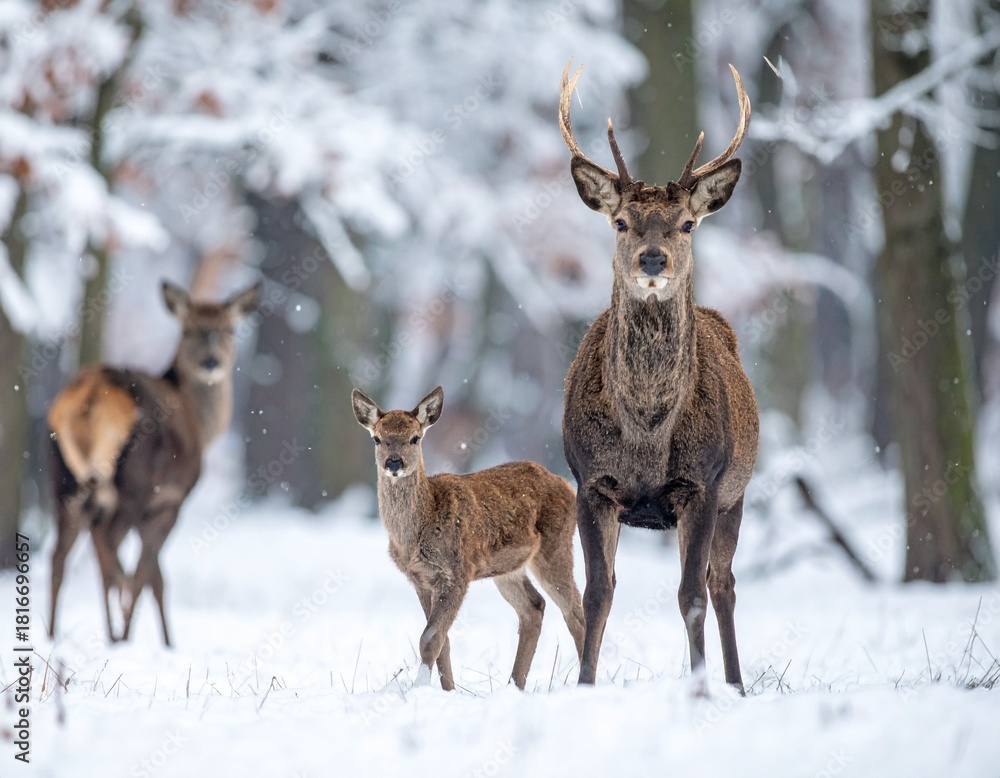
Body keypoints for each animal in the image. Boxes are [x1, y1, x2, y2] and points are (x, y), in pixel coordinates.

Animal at [47, 280, 261, 646]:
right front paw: (167, 642)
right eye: (188, 330)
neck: (203, 427)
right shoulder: (170, 500)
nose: (211, 361)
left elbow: (153, 574)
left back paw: (52, 635)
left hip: (62, 480)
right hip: (133, 486)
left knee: (59, 557)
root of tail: (90, 398)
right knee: (108, 548)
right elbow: (153, 575)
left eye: (228, 329)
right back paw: (118, 635)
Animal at [351, 386, 586, 690]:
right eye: (377, 438)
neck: (415, 535)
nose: (394, 463)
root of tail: (567, 486)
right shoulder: (420, 580)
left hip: (556, 547)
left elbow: (430, 638)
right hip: (508, 569)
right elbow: (442, 640)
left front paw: (420, 688)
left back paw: (586, 681)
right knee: (534, 607)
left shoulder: (457, 572)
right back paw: (514, 685)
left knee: (575, 611)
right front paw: (447, 690)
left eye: (415, 437)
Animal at [558, 61, 759, 692]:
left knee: (723, 585)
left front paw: (699, 688)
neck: (646, 433)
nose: (652, 258)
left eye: (688, 224)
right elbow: (597, 593)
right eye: (621, 221)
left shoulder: (703, 482)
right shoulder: (591, 480)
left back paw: (735, 682)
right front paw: (584, 684)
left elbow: (690, 594)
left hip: (737, 493)